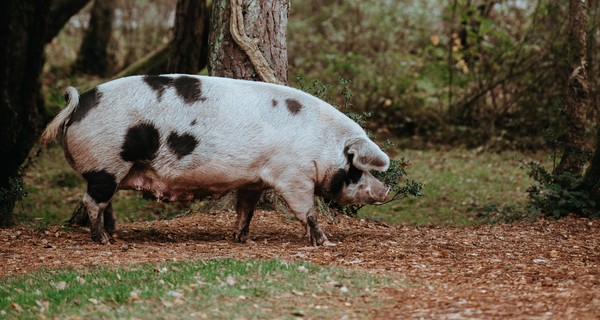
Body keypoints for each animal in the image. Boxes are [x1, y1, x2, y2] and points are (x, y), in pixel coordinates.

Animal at [39, 74, 392, 245]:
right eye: (357, 168)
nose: (386, 190)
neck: (321, 143)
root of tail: (79, 103)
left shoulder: (255, 178)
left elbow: (246, 209)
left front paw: (242, 239)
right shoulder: (293, 175)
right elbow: (306, 211)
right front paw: (326, 244)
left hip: (112, 168)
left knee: (103, 202)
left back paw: (114, 234)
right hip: (107, 163)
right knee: (92, 201)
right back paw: (104, 242)